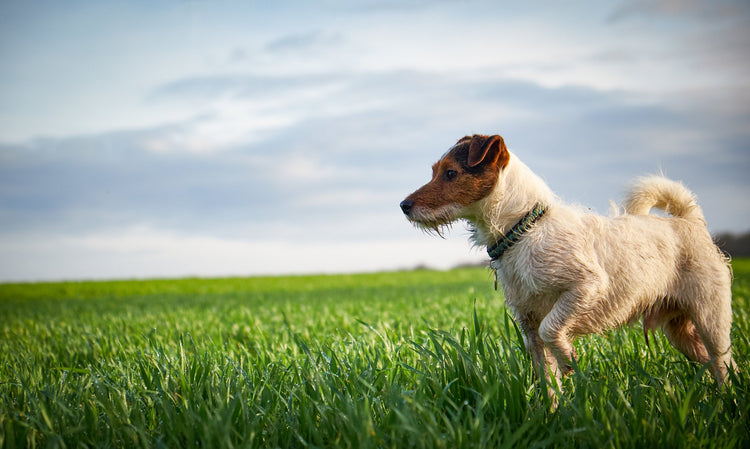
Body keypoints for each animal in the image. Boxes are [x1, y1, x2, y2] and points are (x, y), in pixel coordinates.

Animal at [402, 134, 736, 400]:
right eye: (435, 172)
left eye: (451, 173)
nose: (403, 206)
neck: (524, 229)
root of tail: (689, 221)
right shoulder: (530, 326)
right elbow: (547, 380)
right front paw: (553, 417)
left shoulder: (586, 287)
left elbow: (553, 329)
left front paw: (567, 357)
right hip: (681, 332)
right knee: (713, 364)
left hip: (711, 318)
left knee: (724, 363)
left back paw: (728, 403)